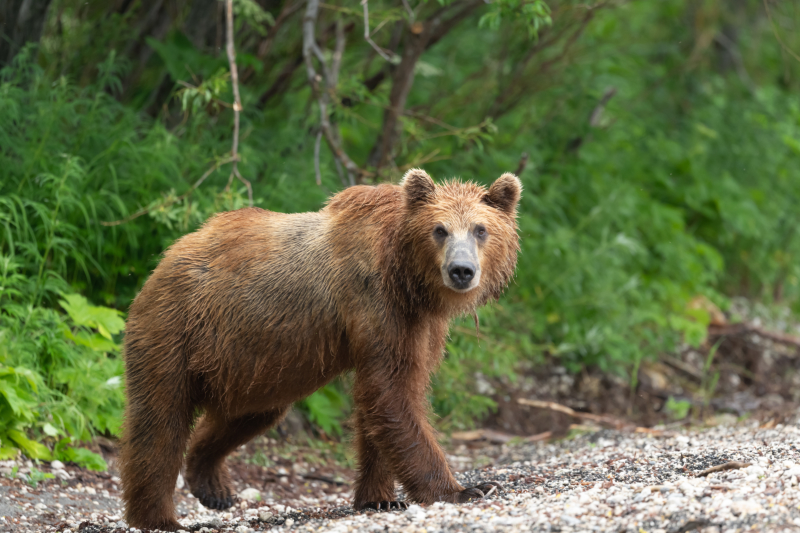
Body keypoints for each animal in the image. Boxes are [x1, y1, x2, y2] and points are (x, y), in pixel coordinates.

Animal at [117, 168, 520, 528]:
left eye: (480, 229)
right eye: (440, 229)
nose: (461, 270)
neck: (409, 278)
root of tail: (163, 261)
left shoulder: (418, 325)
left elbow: (384, 397)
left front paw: (379, 498)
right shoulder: (376, 302)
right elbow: (392, 393)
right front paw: (462, 489)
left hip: (255, 362)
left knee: (248, 413)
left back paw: (212, 484)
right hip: (175, 329)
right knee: (159, 422)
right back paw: (159, 518)